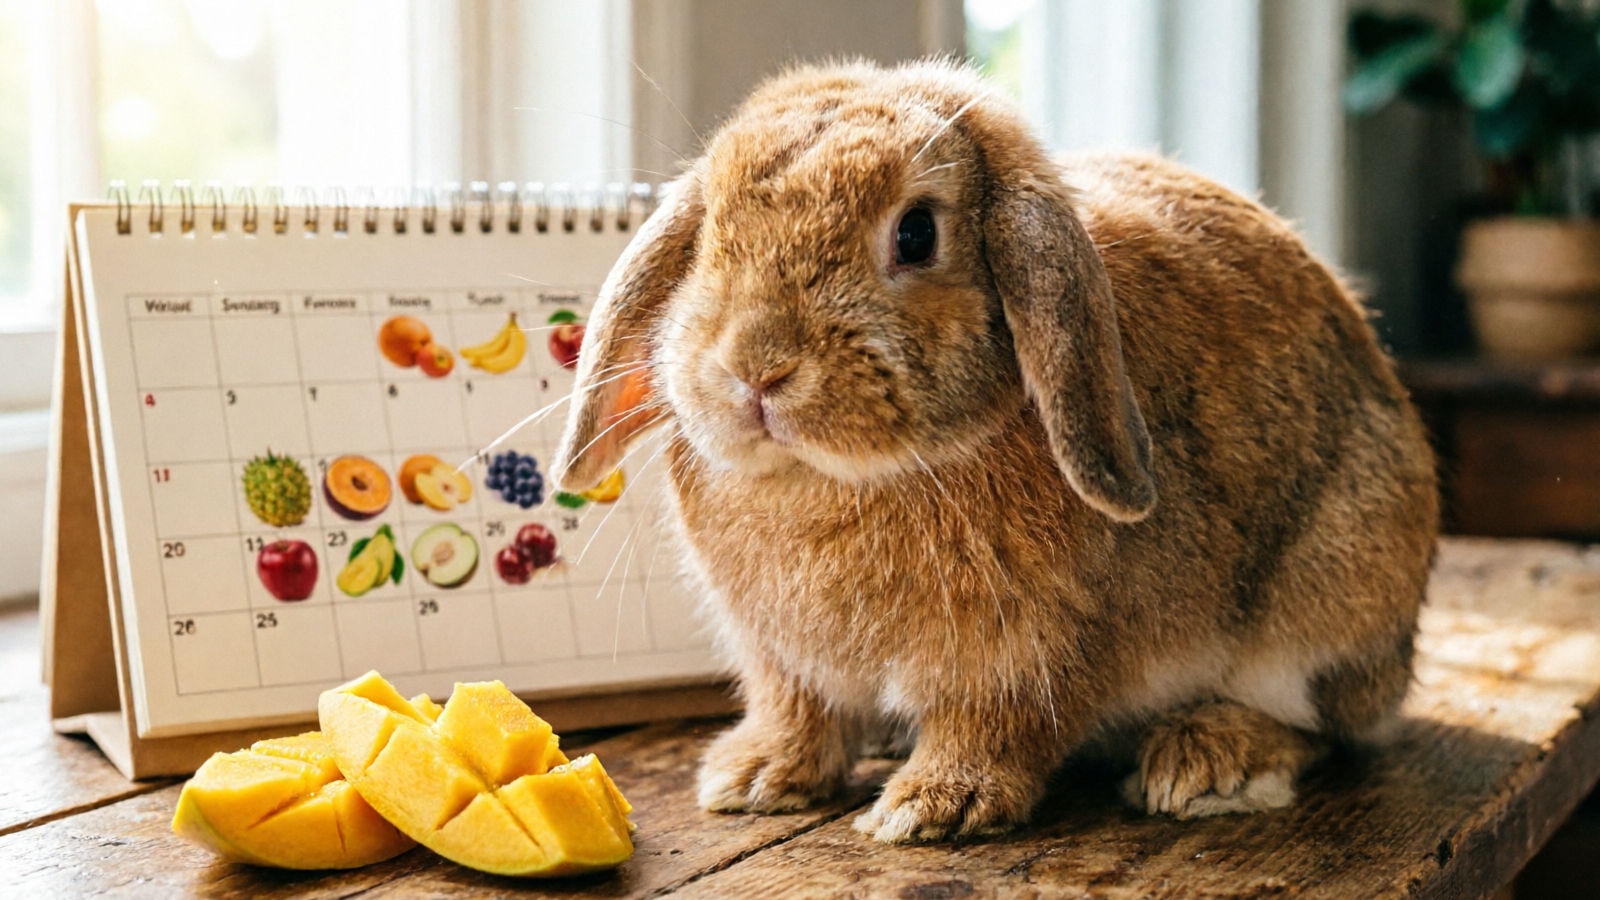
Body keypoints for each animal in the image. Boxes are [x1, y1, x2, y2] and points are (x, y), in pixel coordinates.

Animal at [551, 58, 1438, 843]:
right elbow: (798, 712)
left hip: (1333, 589)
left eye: (916, 233)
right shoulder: (784, 660)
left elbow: (995, 725)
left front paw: (937, 806)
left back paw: (1207, 762)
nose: (755, 368)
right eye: (711, 230)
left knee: (1323, 726)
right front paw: (754, 776)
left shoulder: (1031, 658)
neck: (838, 478)